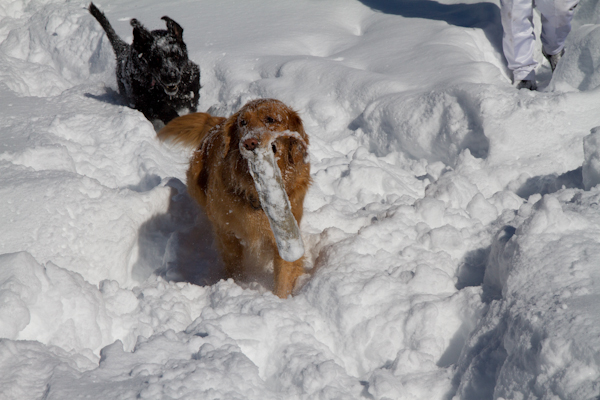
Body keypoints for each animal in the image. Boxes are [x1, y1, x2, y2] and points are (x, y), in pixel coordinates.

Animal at [157, 98, 312, 296]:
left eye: (270, 119)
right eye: (243, 123)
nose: (249, 143)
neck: (254, 192)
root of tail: (219, 122)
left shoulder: (286, 238)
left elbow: (284, 275)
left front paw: (280, 299)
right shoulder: (227, 232)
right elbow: (234, 266)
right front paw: (237, 286)